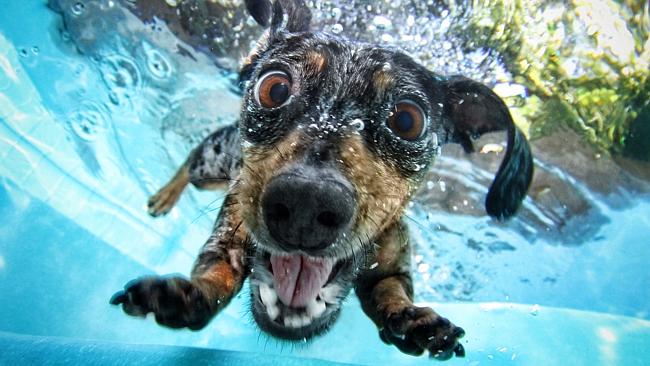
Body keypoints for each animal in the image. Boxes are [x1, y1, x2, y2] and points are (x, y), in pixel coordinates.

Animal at [109, 0, 528, 360]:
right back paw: (164, 196)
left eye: (408, 121)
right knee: (190, 161)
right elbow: (216, 274)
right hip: (212, 165)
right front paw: (191, 294)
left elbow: (391, 290)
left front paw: (411, 318)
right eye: (274, 88)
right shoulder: (228, 234)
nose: (305, 204)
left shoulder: (391, 264)